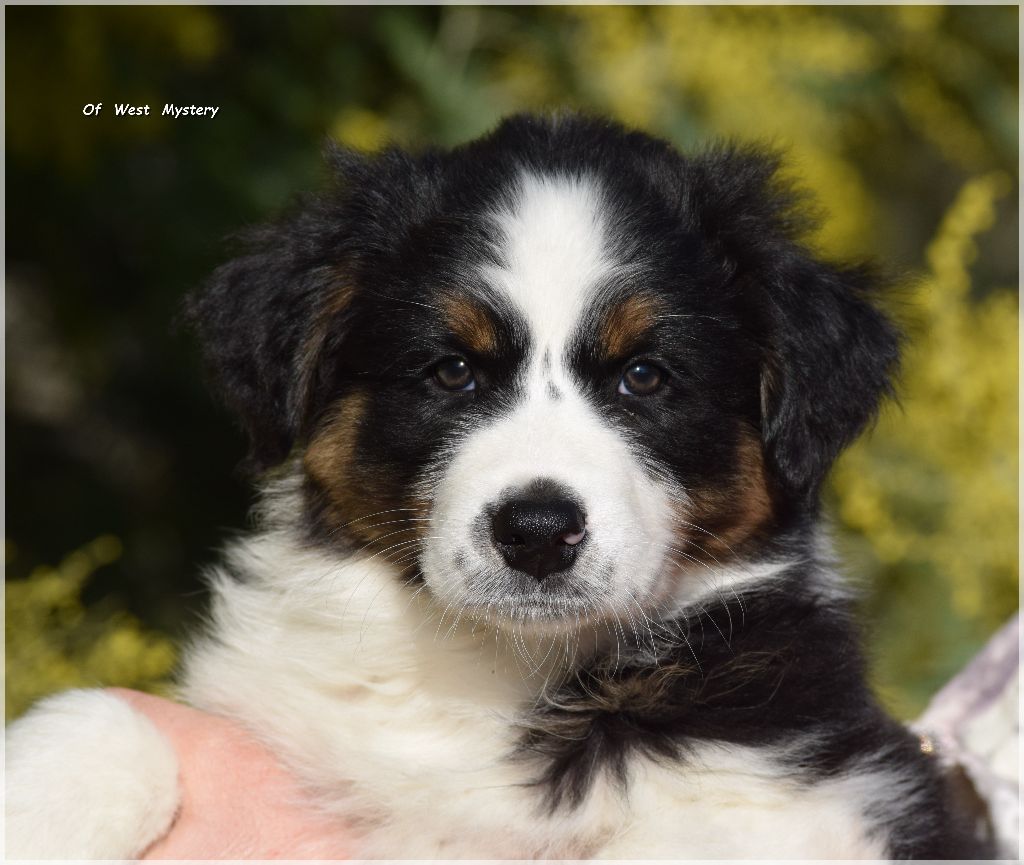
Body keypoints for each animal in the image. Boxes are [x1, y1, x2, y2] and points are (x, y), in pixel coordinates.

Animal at [6, 114, 990, 858]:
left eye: (645, 376)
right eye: (452, 371)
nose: (538, 531)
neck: (497, 669)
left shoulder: (813, 805)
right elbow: (109, 720)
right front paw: (40, 808)